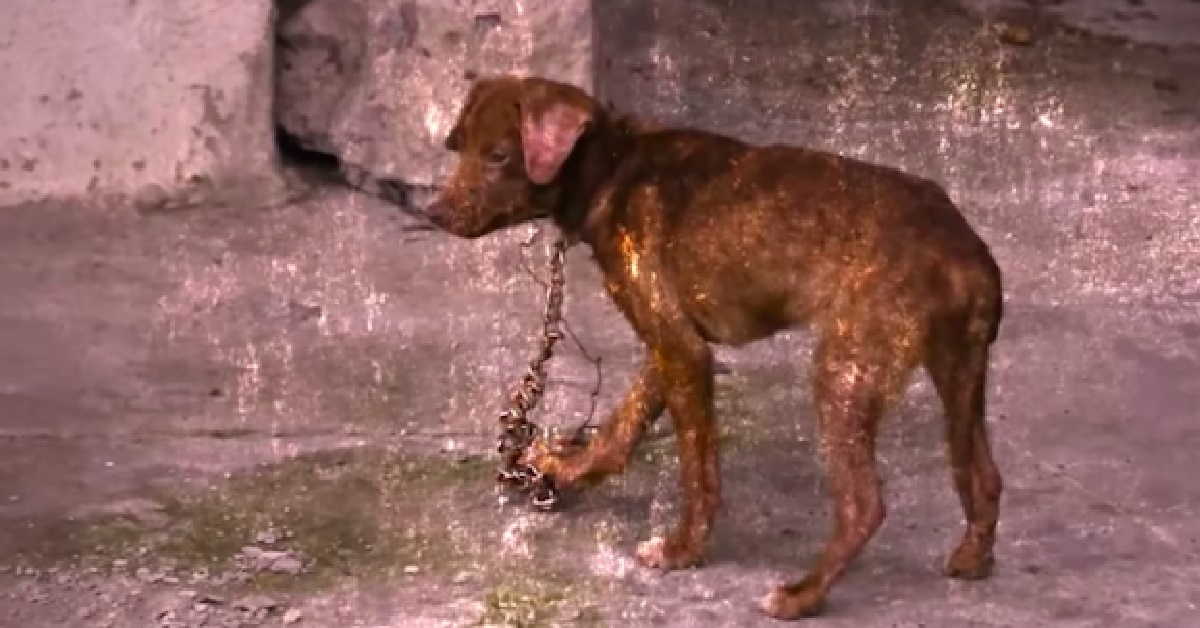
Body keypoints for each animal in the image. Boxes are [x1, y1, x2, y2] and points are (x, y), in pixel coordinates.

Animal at [427, 75, 1008, 619]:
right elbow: (620, 429)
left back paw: (802, 594)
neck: (612, 165)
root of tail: (962, 252)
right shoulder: (673, 344)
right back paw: (973, 557)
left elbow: (698, 471)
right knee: (983, 476)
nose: (432, 214)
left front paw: (683, 550)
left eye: (500, 157)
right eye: (458, 147)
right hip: (959, 372)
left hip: (845, 373)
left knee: (864, 505)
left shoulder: (683, 349)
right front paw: (564, 470)